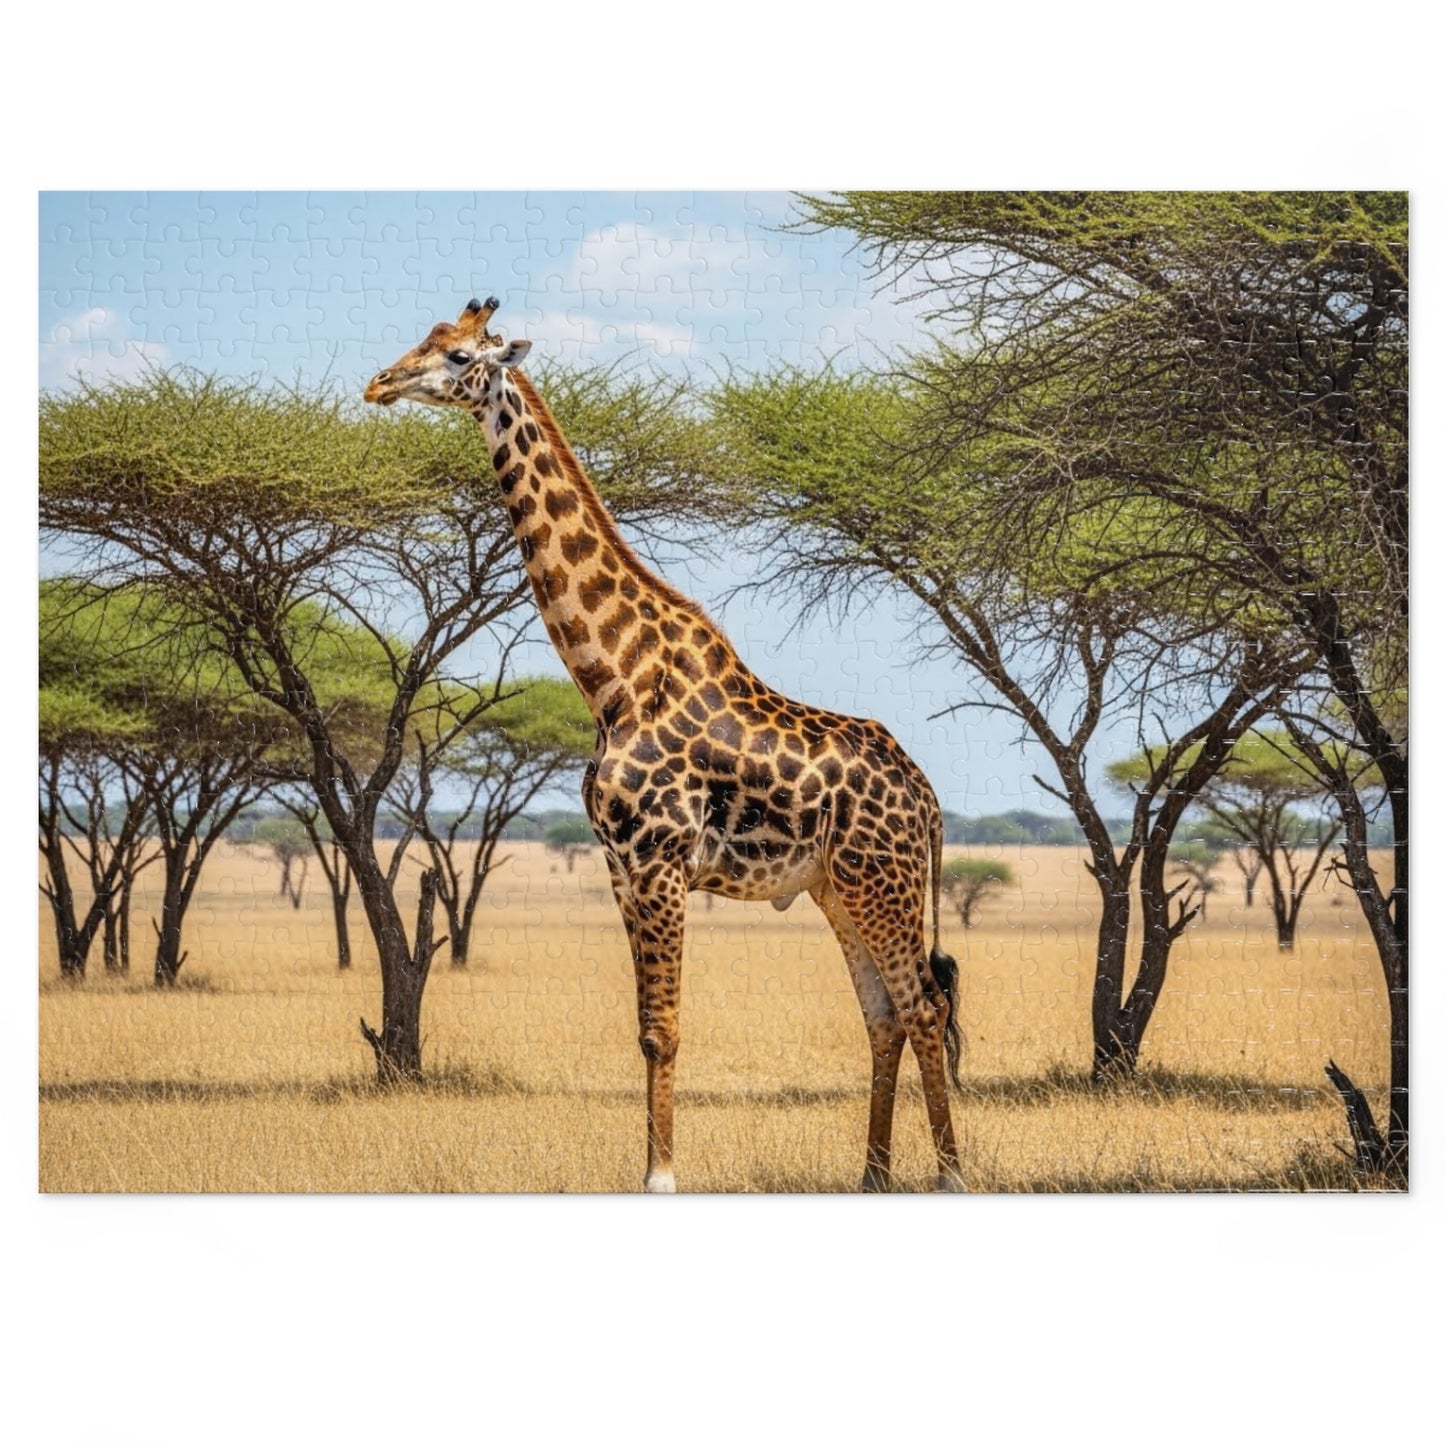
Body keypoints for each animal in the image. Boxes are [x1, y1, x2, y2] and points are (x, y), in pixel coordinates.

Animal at [366, 298, 965, 1192]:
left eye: (461, 355)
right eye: (426, 341)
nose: (379, 383)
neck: (612, 677)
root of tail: (927, 800)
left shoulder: (658, 860)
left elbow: (664, 1029)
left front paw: (660, 1177)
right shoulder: (619, 865)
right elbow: (645, 1025)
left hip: (881, 884)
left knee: (923, 1005)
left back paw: (950, 1174)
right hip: (837, 887)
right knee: (885, 1014)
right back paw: (871, 1176)